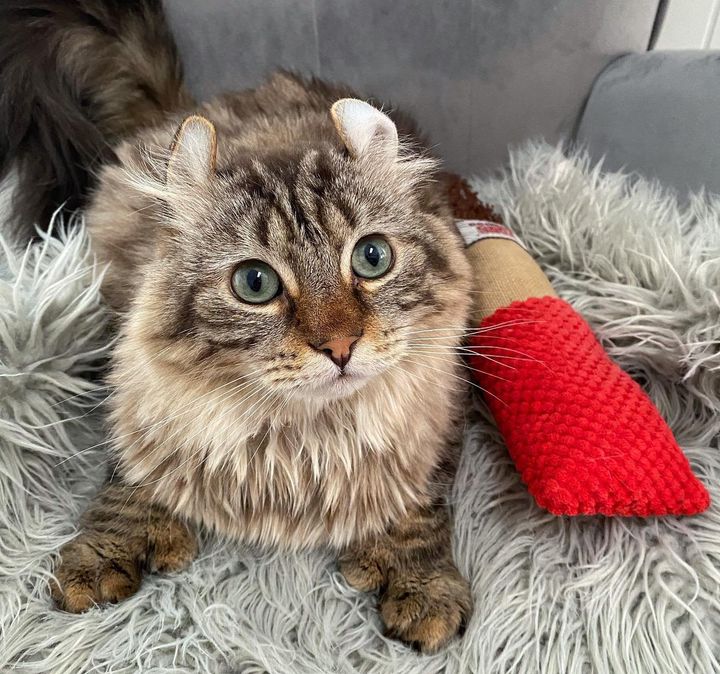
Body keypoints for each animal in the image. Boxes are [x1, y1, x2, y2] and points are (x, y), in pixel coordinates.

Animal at [2, 0, 476, 652]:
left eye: (372, 258)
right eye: (255, 283)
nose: (341, 346)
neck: (304, 435)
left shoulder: (443, 415)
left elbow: (419, 508)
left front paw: (422, 585)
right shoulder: (136, 398)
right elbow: (127, 483)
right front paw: (100, 557)